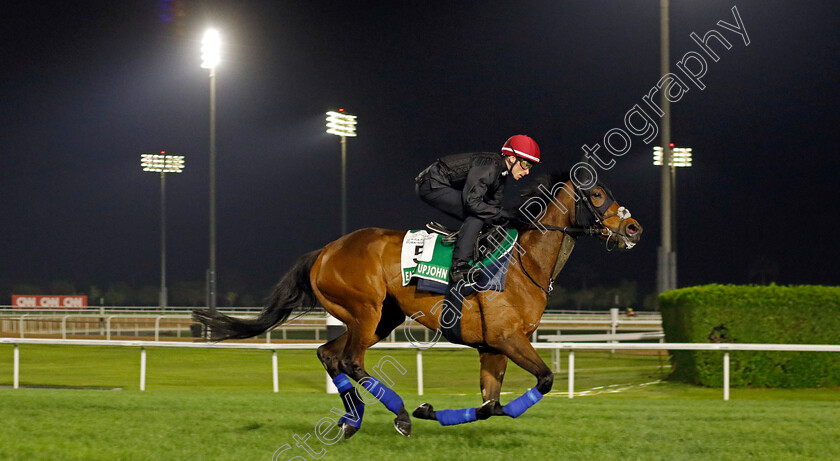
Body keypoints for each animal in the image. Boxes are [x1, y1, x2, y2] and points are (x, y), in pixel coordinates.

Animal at [195, 171, 644, 436]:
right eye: (598, 194)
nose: (634, 228)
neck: (522, 263)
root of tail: (324, 251)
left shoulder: (492, 347)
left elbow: (491, 406)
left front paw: (432, 411)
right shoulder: (508, 339)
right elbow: (545, 381)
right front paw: (421, 411)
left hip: (379, 319)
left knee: (328, 354)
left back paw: (352, 418)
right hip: (366, 310)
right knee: (350, 361)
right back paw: (398, 415)